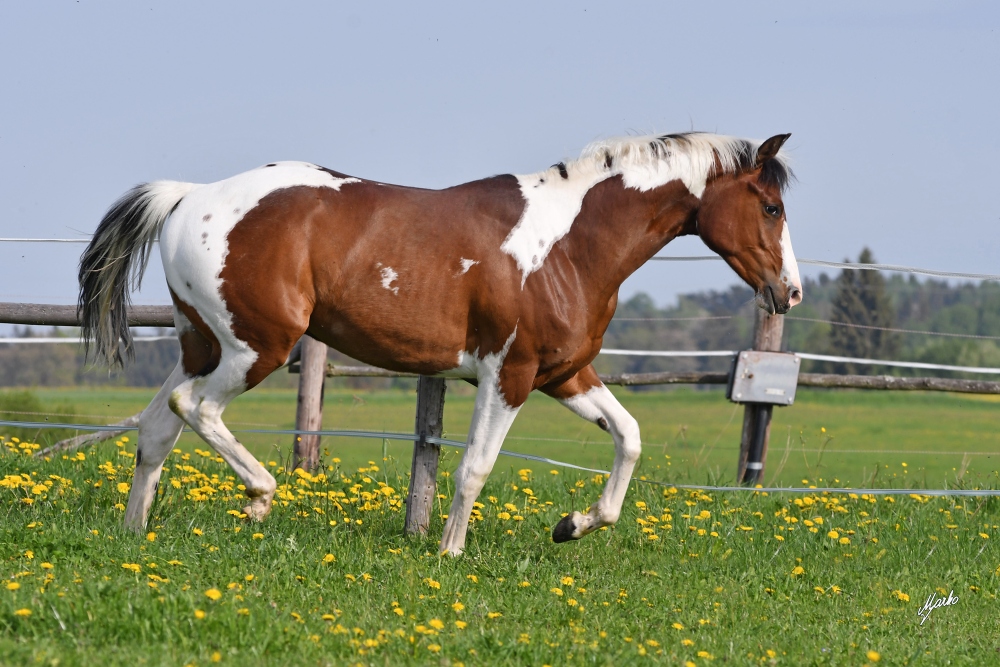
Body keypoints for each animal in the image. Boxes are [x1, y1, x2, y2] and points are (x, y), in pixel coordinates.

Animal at [78, 133, 800, 556]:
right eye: (770, 207)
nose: (789, 291)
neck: (570, 244)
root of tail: (190, 198)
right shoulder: (509, 374)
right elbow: (474, 466)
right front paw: (450, 552)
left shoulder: (565, 374)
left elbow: (630, 437)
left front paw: (573, 524)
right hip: (257, 347)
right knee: (195, 410)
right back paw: (258, 497)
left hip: (201, 345)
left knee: (156, 426)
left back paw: (134, 531)